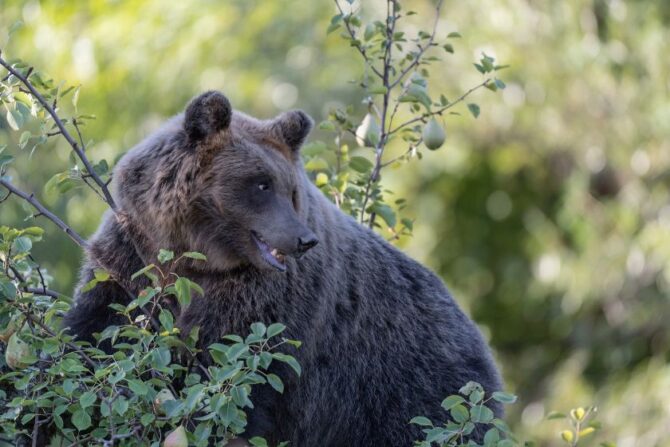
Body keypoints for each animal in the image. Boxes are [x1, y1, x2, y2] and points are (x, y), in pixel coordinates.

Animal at [63, 91, 503, 446]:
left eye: (291, 190)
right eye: (261, 184)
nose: (304, 239)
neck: (195, 256)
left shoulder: (266, 302)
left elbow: (238, 375)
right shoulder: (129, 257)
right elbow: (95, 329)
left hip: (410, 385)